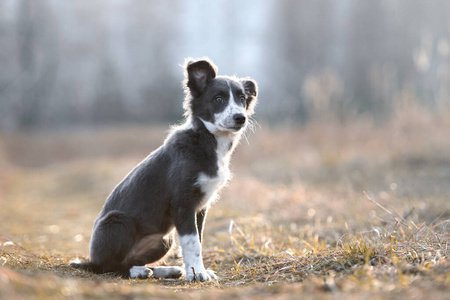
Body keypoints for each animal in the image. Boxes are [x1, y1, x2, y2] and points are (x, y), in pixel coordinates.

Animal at [72, 58, 258, 282]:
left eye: (242, 99)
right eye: (219, 99)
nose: (241, 118)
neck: (205, 140)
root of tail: (90, 259)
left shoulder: (200, 207)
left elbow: (197, 239)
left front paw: (195, 271)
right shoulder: (183, 203)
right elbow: (193, 243)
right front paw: (197, 274)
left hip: (164, 239)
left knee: (128, 261)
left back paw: (163, 270)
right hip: (119, 222)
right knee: (108, 267)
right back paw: (139, 271)